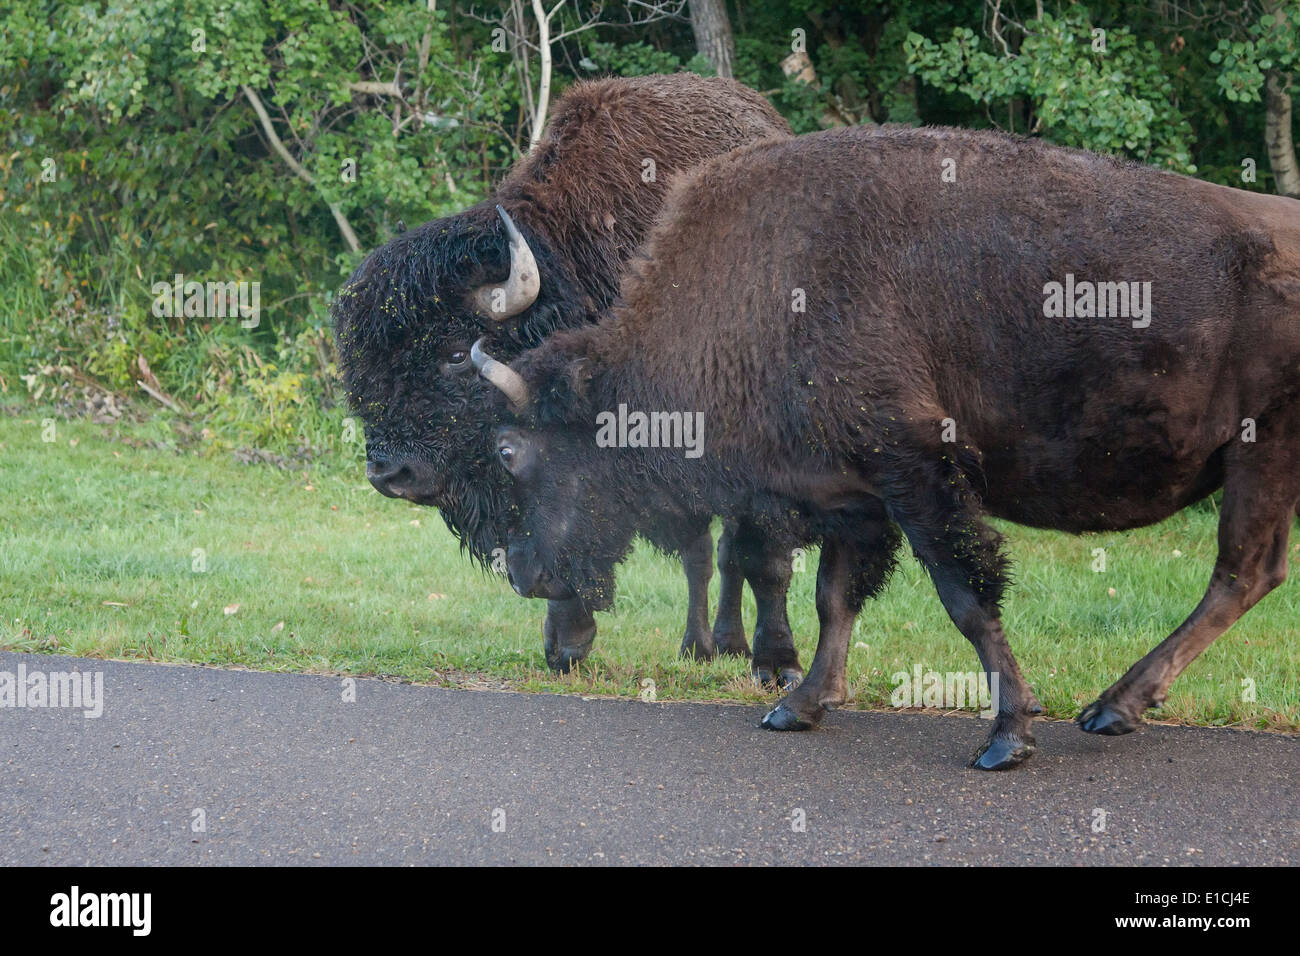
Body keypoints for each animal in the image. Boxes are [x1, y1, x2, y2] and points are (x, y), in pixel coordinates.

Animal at [332, 72, 800, 681]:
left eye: (456, 354)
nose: (390, 473)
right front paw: (567, 643)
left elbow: (756, 555)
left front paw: (775, 664)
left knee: (727, 551)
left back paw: (724, 643)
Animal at [478, 125, 1300, 770]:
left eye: (512, 452)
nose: (520, 571)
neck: (758, 288)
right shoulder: (854, 495)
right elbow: (834, 597)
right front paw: (801, 705)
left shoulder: (915, 474)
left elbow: (965, 594)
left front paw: (1007, 736)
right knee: (1249, 574)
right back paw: (1118, 706)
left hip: (1262, 451)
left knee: (1241, 571)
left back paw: (1112, 705)